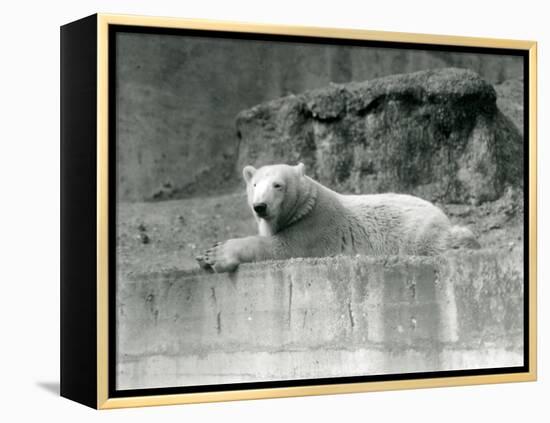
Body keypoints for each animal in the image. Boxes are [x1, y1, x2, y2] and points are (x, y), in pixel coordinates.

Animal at [196, 164, 480, 274]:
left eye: (278, 185)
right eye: (254, 185)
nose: (260, 207)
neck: (306, 204)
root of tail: (440, 213)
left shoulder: (314, 227)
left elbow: (281, 247)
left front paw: (216, 254)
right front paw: (202, 257)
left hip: (417, 232)